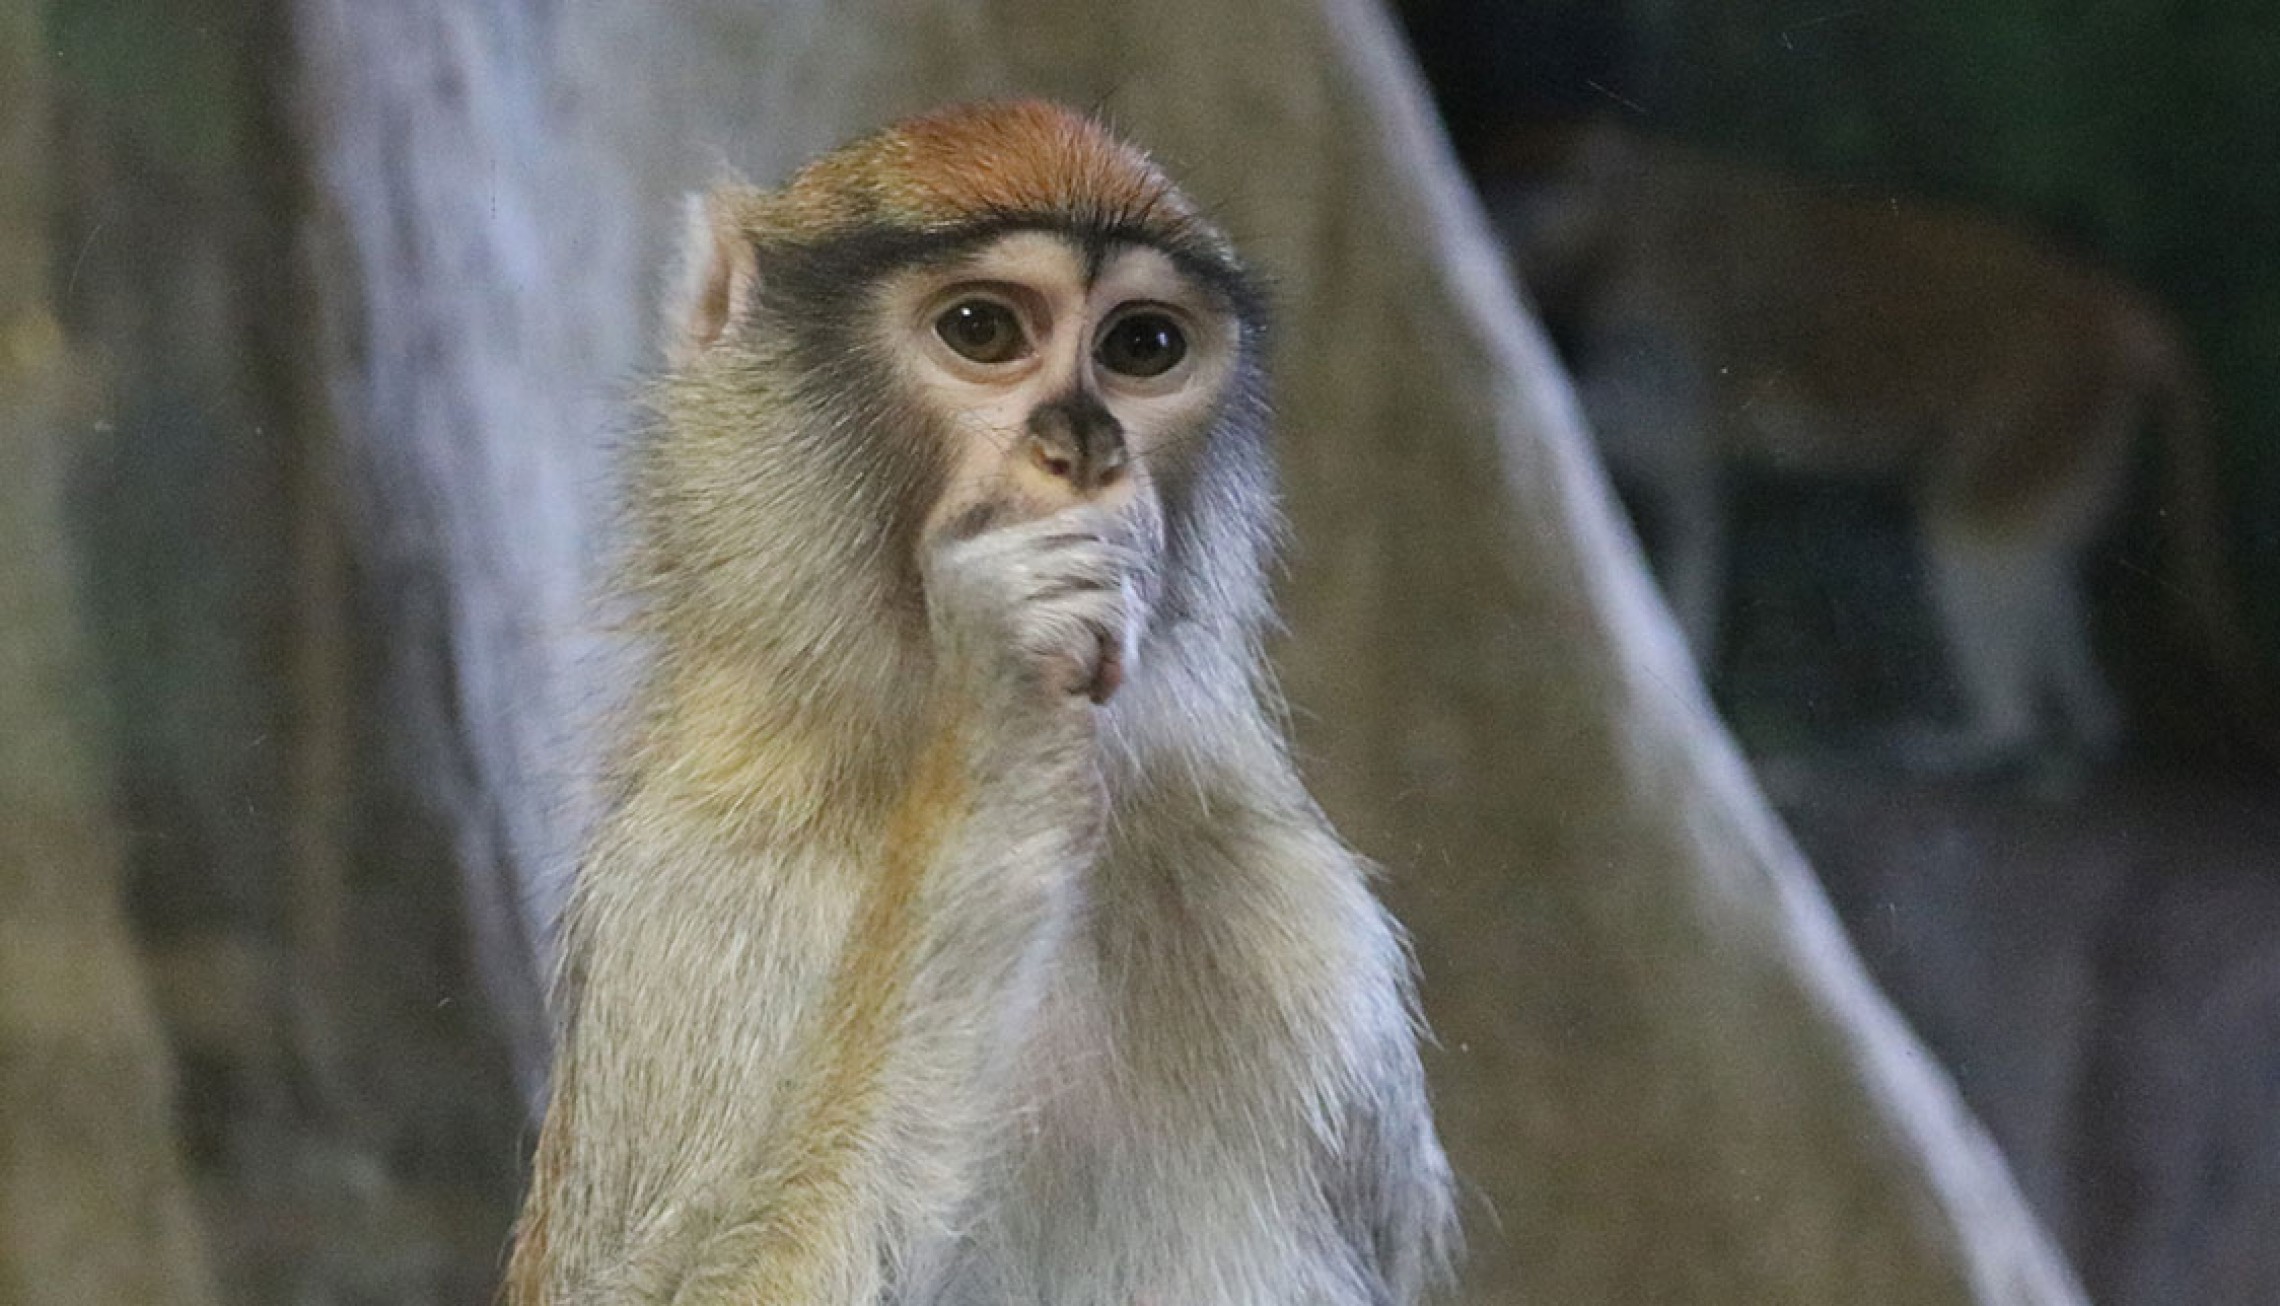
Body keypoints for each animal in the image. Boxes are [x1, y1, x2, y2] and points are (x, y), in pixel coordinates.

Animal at [506, 101, 1450, 1303]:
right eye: (983, 329)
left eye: (1143, 346)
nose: (1084, 451)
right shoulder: (690, 888)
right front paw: (992, 745)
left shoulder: (1300, 910)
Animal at [1486, 119, 2252, 765]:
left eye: (1520, 197)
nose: (1496, 226)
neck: (1635, 215)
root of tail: (2104, 305)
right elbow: (1695, 503)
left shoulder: (1678, 306)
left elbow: (1667, 425)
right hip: (2080, 423)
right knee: (2039, 556)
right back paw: (2090, 720)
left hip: (2039, 396)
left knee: (1971, 533)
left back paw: (1991, 734)